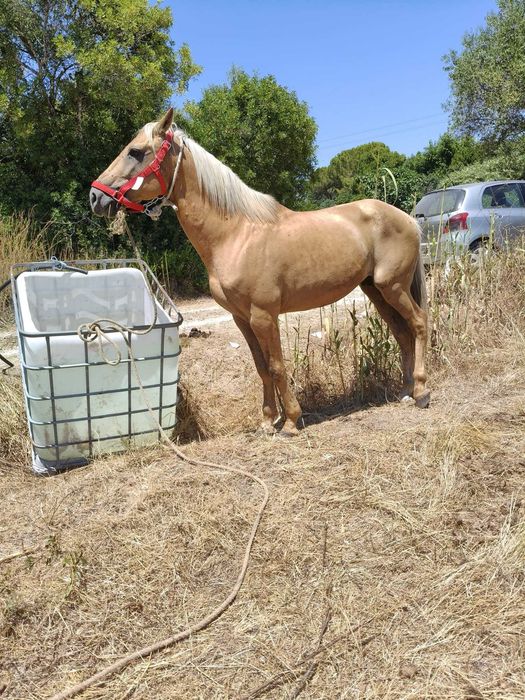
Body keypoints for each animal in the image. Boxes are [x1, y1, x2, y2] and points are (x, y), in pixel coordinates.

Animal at [90, 108, 430, 436]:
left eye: (136, 152)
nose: (96, 197)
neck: (236, 234)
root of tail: (407, 219)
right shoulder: (241, 318)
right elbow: (261, 366)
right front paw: (267, 421)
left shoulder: (264, 315)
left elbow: (277, 365)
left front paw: (291, 421)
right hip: (375, 289)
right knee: (402, 333)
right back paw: (405, 391)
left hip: (393, 287)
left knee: (419, 324)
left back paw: (422, 392)